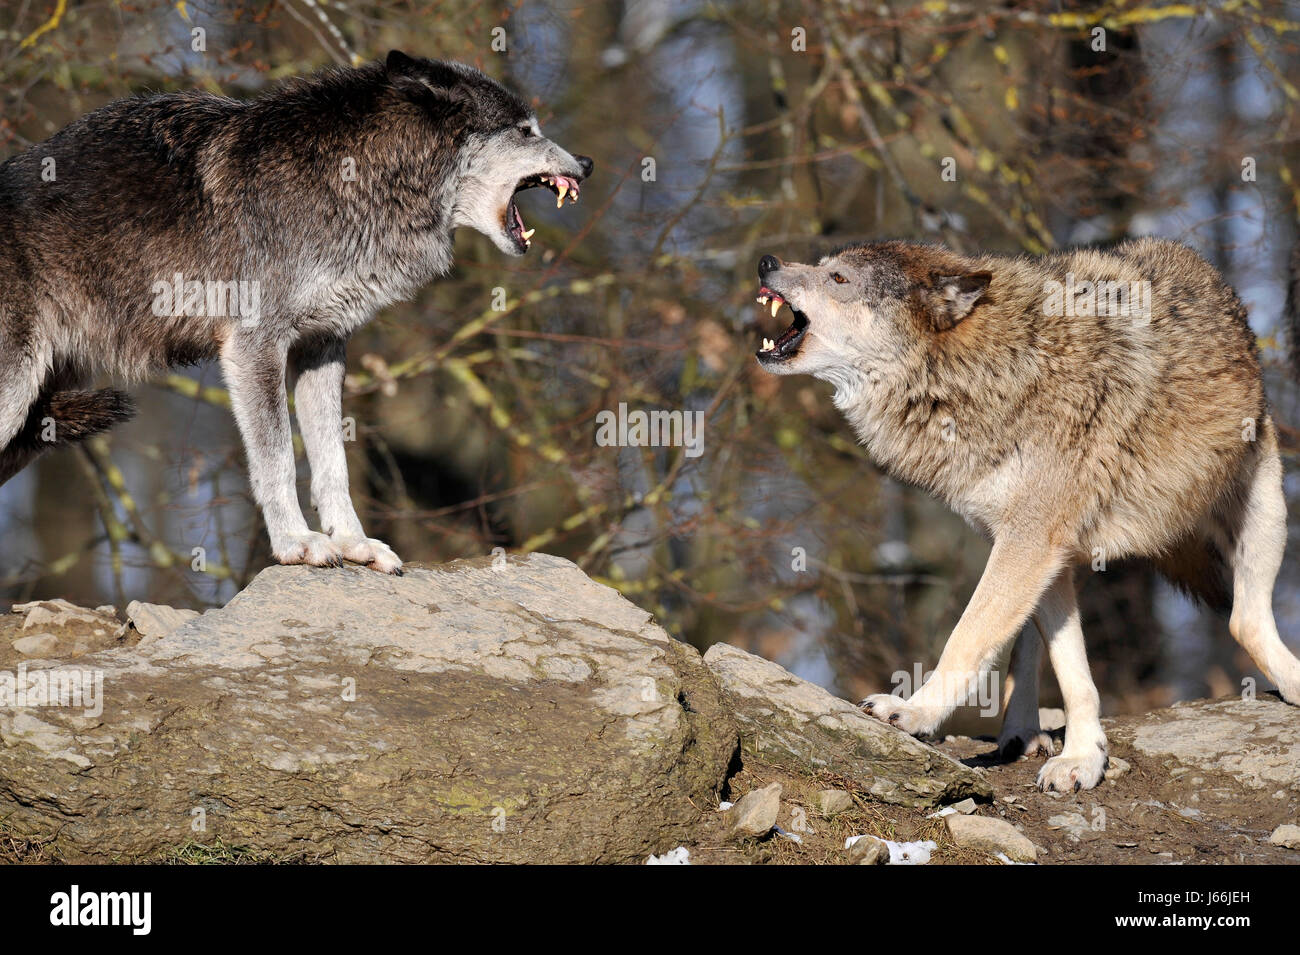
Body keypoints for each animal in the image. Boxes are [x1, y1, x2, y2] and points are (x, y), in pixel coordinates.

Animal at [1, 54, 595, 574]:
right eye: (525, 130)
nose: (587, 163)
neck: (356, 182)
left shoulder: (323, 347)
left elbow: (333, 464)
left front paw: (353, 544)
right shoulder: (254, 347)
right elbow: (278, 460)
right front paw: (295, 543)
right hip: (16, 392)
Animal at [754, 237, 1300, 789]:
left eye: (839, 278)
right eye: (823, 266)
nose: (766, 262)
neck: (991, 371)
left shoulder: (1032, 540)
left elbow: (966, 638)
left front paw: (915, 712)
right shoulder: (1031, 544)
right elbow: (1070, 670)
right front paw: (1083, 756)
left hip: (1265, 507)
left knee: (1244, 620)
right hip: (1060, 559)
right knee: (1031, 649)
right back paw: (1019, 732)